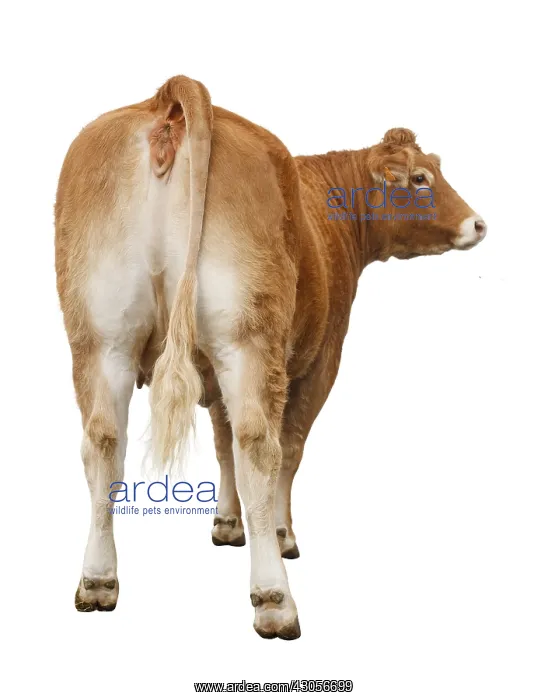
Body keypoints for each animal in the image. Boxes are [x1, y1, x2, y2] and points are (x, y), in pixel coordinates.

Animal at [55, 74, 486, 640]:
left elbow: (222, 445)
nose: (478, 224)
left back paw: (98, 580)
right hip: (248, 337)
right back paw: (274, 598)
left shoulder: (209, 369)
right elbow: (290, 446)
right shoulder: (322, 359)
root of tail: (168, 101)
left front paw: (226, 523)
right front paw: (282, 534)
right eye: (420, 177)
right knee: (261, 444)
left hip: (102, 338)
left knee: (104, 441)